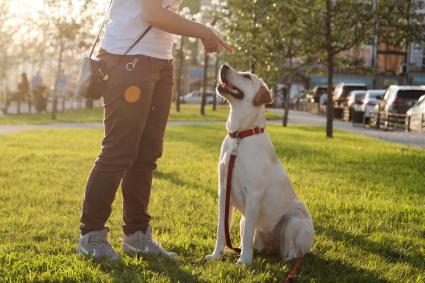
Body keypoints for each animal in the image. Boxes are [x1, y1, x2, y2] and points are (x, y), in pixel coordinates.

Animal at [206, 65, 314, 266]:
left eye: (247, 76)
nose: (224, 66)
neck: (240, 135)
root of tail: (273, 248)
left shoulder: (254, 195)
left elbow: (248, 233)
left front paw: (244, 262)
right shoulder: (223, 192)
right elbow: (221, 230)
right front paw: (217, 255)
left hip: (294, 219)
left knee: (294, 252)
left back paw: (285, 259)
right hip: (244, 220)